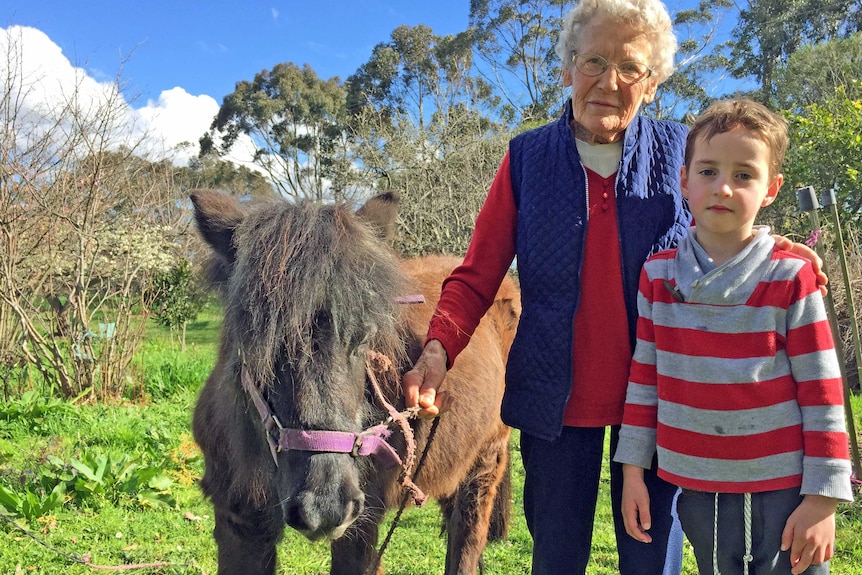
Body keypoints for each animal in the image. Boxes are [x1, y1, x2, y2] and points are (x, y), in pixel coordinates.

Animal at [192, 190, 524, 575]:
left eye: (364, 337)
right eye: (261, 339)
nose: (324, 505)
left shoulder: (362, 525)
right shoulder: (240, 522)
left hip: (485, 463)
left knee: (467, 538)